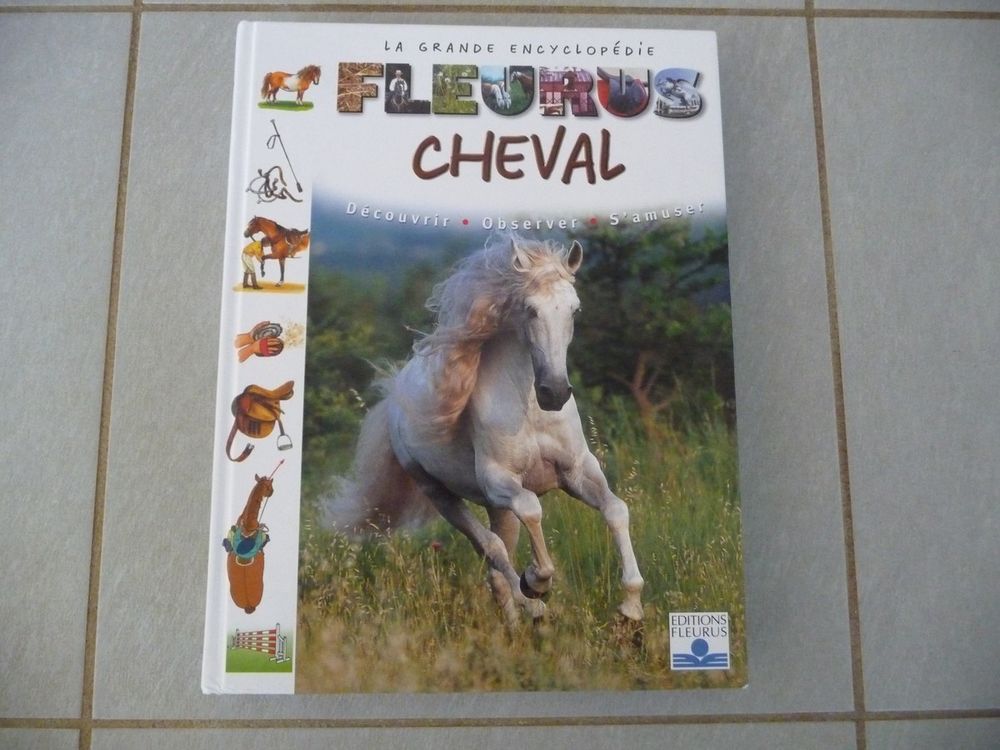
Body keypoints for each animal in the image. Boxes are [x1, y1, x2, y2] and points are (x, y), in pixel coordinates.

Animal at [327, 237, 644, 628]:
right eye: (530, 309)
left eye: (575, 309)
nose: (554, 392)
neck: (529, 411)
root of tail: (394, 401)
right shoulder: (499, 480)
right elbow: (533, 510)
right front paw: (537, 581)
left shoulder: (577, 471)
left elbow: (616, 509)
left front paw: (631, 606)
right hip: (441, 494)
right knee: (493, 550)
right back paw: (532, 605)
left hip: (497, 508)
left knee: (497, 565)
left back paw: (517, 625)